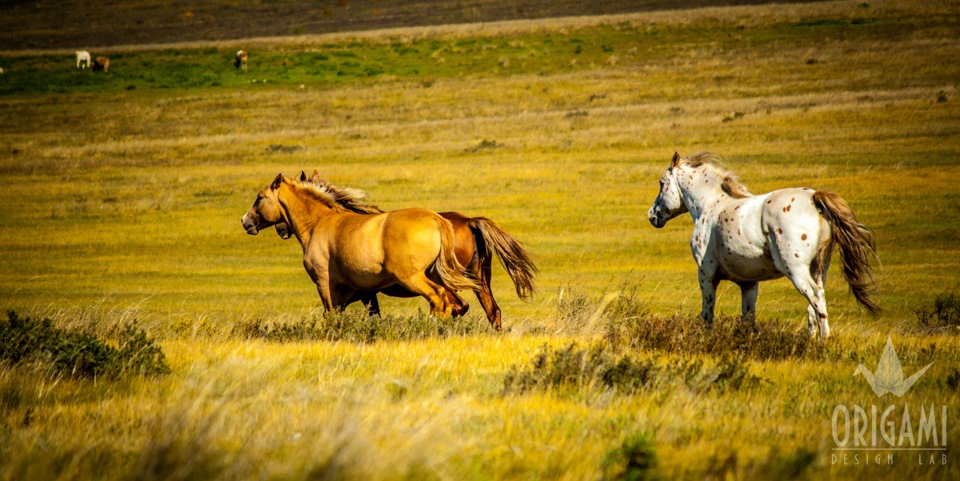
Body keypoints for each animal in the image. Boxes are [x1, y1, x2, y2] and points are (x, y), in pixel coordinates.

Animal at [242, 174, 480, 317]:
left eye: (259, 197)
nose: (246, 221)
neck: (318, 223)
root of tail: (437, 220)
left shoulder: (324, 283)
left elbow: (330, 314)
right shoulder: (351, 290)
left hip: (412, 278)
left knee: (438, 298)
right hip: (434, 275)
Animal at [272, 171, 538, 330]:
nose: (281, 229)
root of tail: (469, 221)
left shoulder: (362, 293)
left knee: (456, 305)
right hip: (480, 282)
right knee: (492, 311)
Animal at [647, 151, 880, 339]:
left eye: (661, 183)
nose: (652, 216)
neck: (711, 206)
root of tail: (814, 198)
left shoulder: (706, 275)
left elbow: (707, 314)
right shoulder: (748, 283)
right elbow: (748, 318)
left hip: (795, 269)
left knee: (816, 298)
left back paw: (824, 342)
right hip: (819, 268)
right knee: (813, 305)